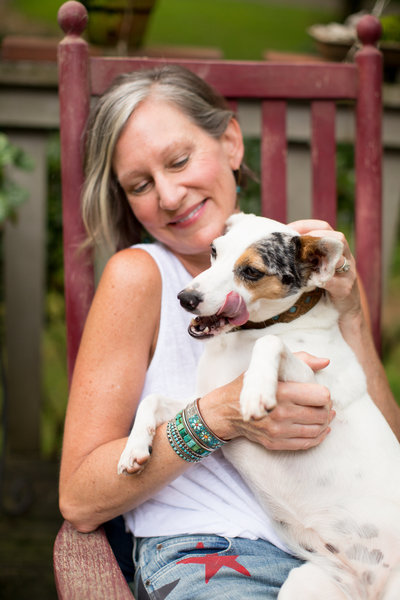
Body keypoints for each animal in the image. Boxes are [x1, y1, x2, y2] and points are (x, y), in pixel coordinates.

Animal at [118, 213, 400, 596]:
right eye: (214, 251)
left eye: (251, 272)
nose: (186, 298)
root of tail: (371, 590)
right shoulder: (207, 401)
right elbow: (153, 398)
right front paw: (134, 449)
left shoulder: (316, 393)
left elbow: (270, 344)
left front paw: (255, 390)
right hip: (306, 584)